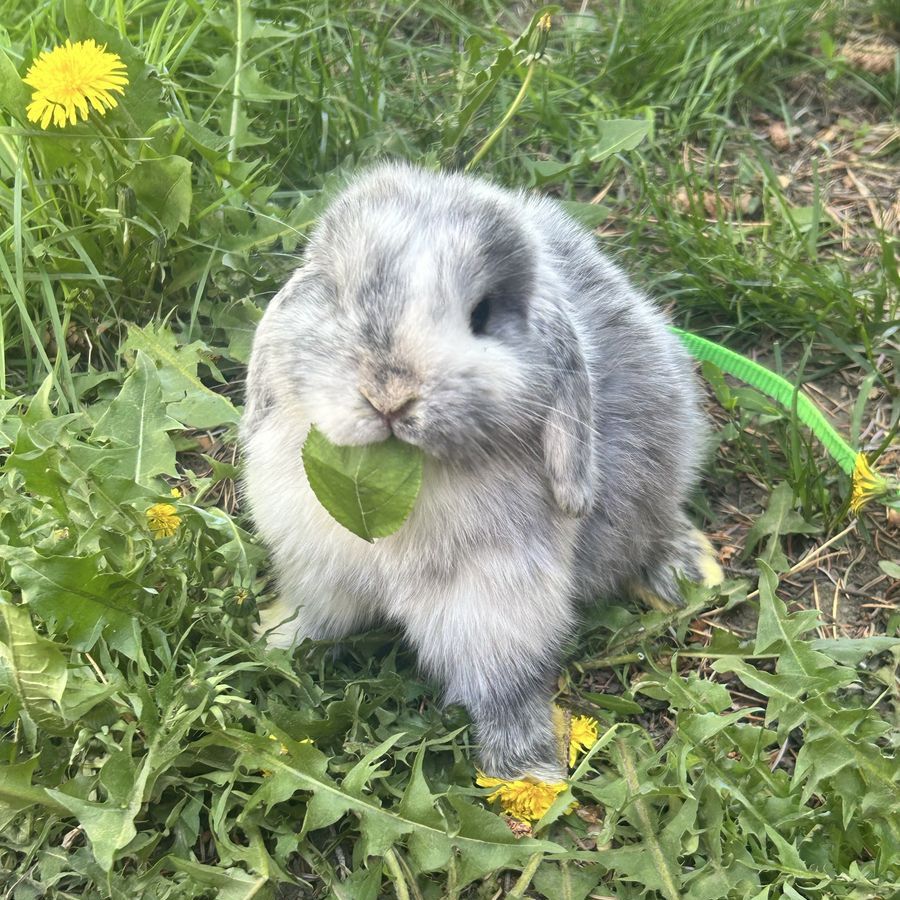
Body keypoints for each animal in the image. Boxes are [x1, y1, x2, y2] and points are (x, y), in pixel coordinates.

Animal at [241, 162, 720, 782]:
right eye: (339, 295)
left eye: (483, 314)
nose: (389, 394)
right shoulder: (317, 568)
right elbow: (316, 619)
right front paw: (271, 639)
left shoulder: (495, 602)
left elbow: (502, 685)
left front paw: (529, 770)